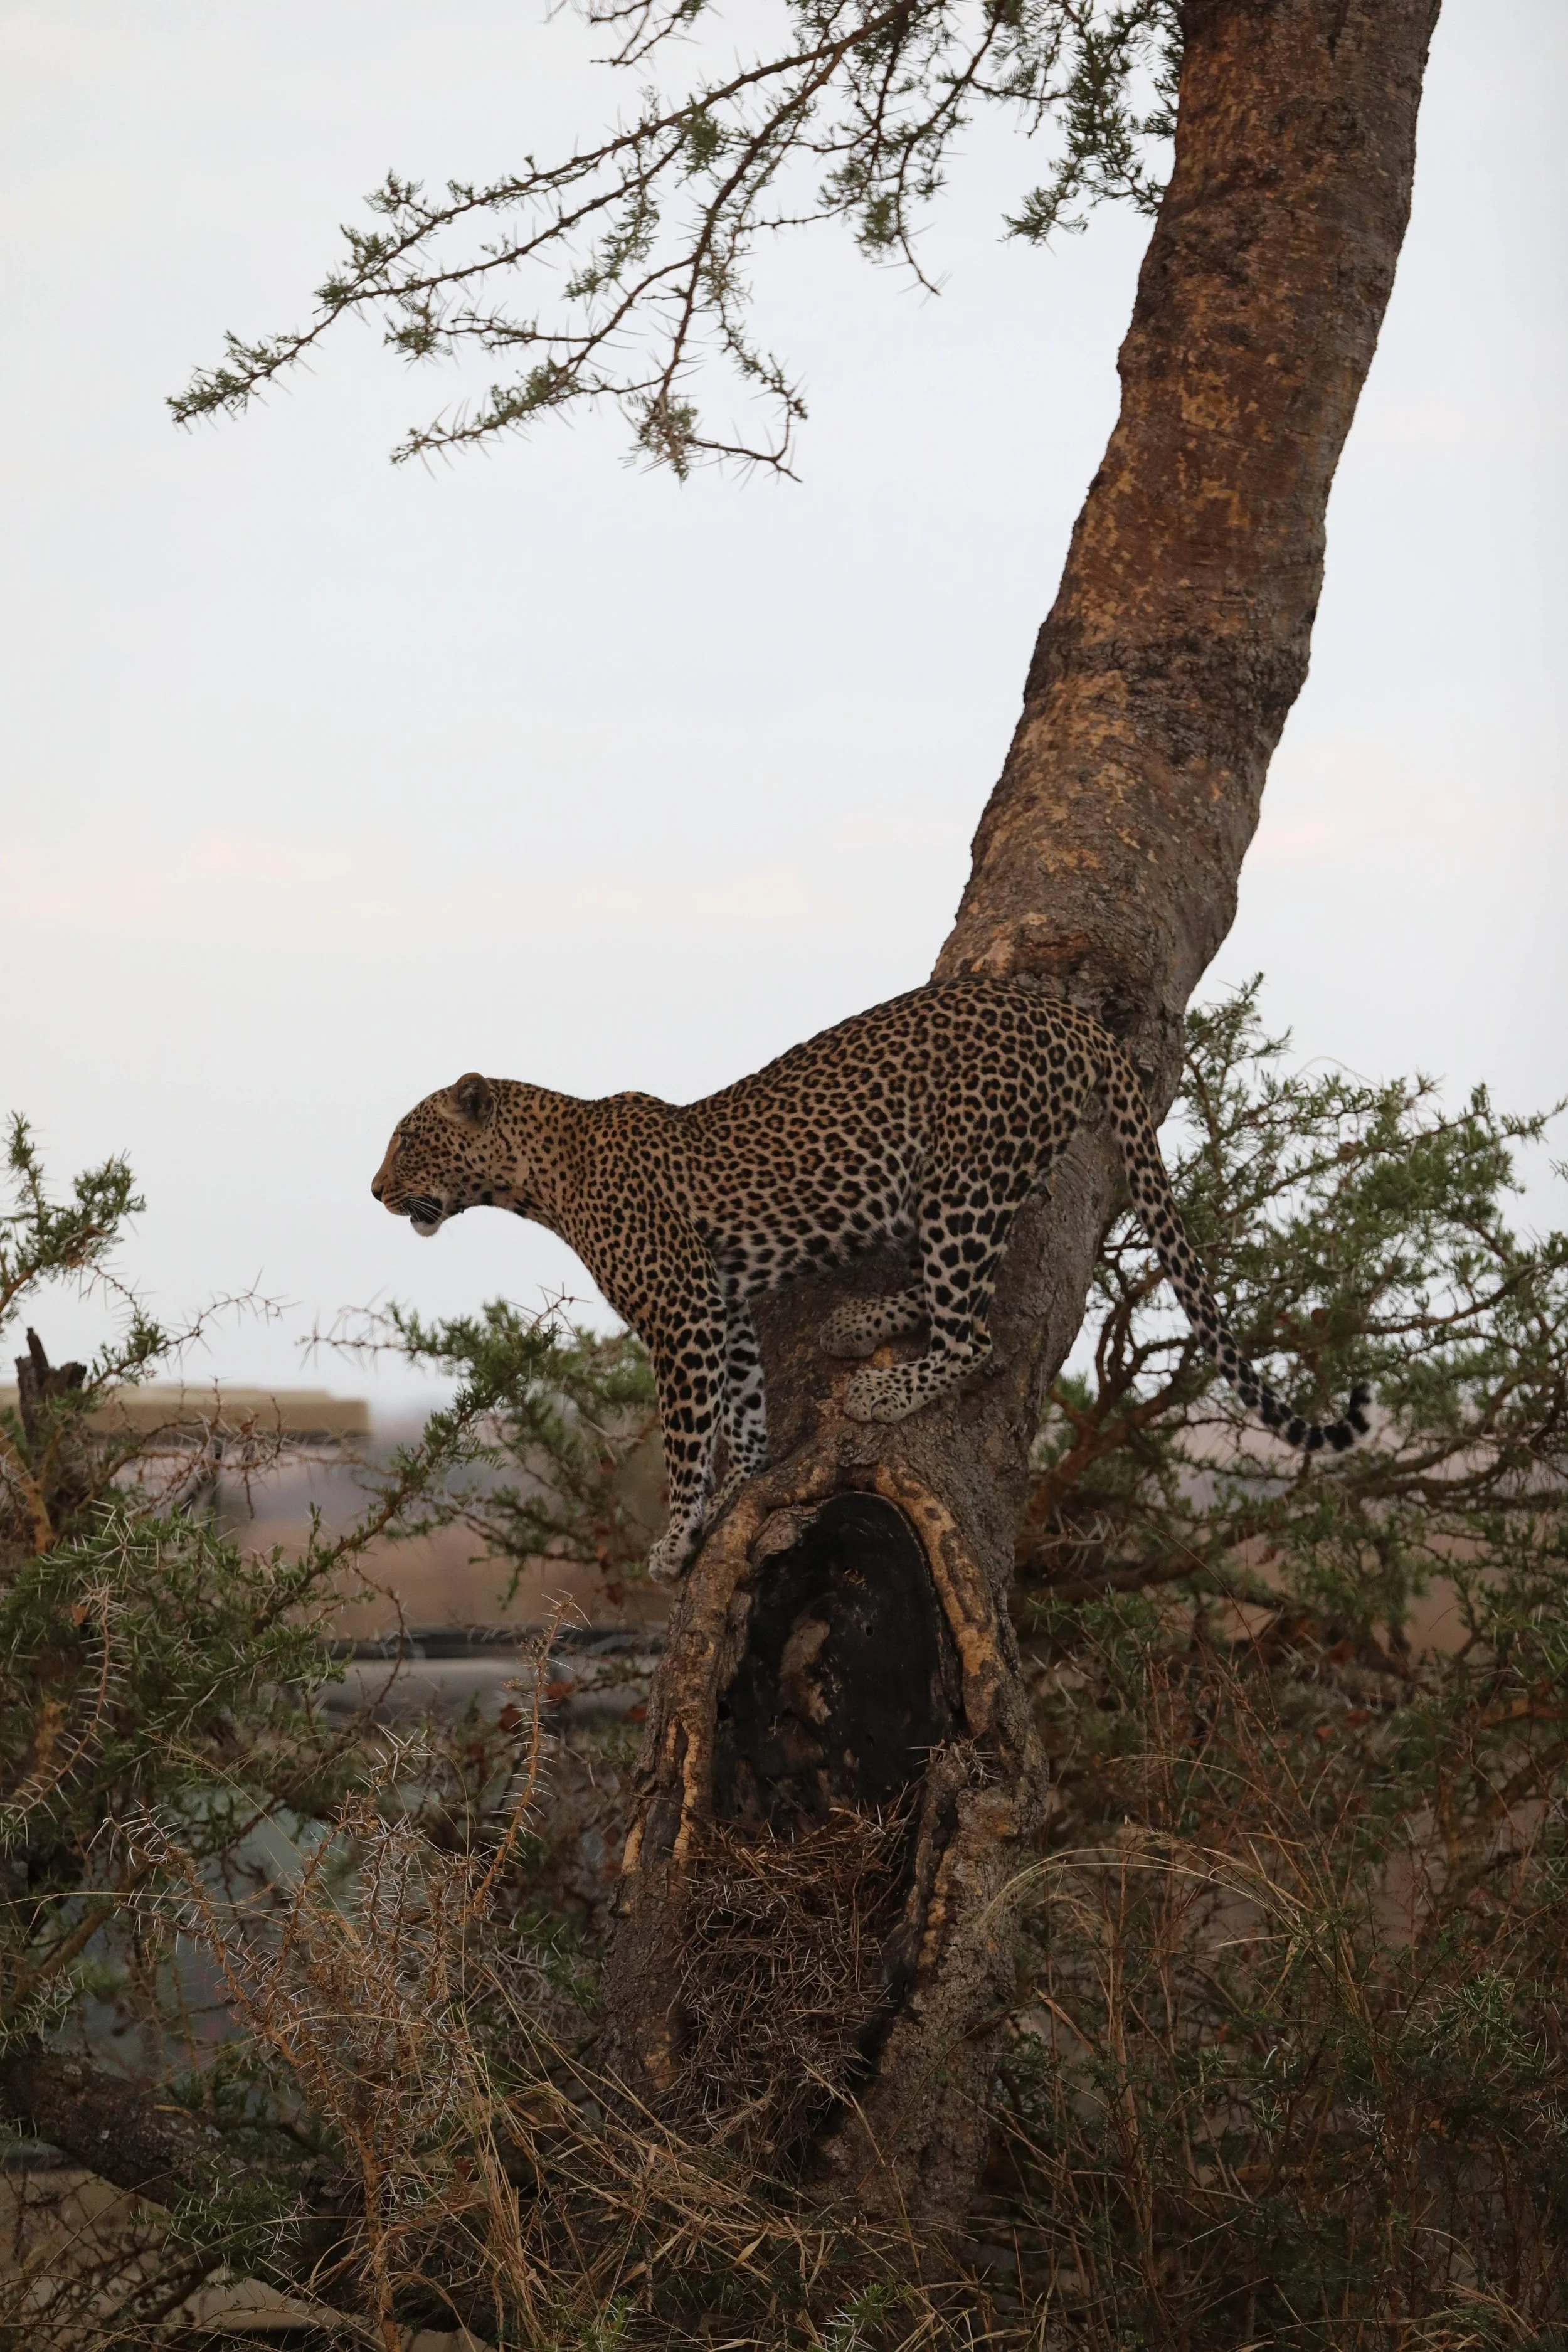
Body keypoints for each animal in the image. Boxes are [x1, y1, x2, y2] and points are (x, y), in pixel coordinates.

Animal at [371, 978, 1370, 1581]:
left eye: (409, 1141)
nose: (376, 1191)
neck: (536, 1179)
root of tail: (1068, 1015)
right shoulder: (724, 1306)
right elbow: (743, 1411)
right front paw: (743, 1485)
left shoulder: (681, 1316)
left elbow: (686, 1440)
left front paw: (678, 1536)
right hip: (980, 1183)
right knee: (959, 1293)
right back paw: (858, 1326)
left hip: (961, 1175)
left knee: (977, 1333)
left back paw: (886, 1388)